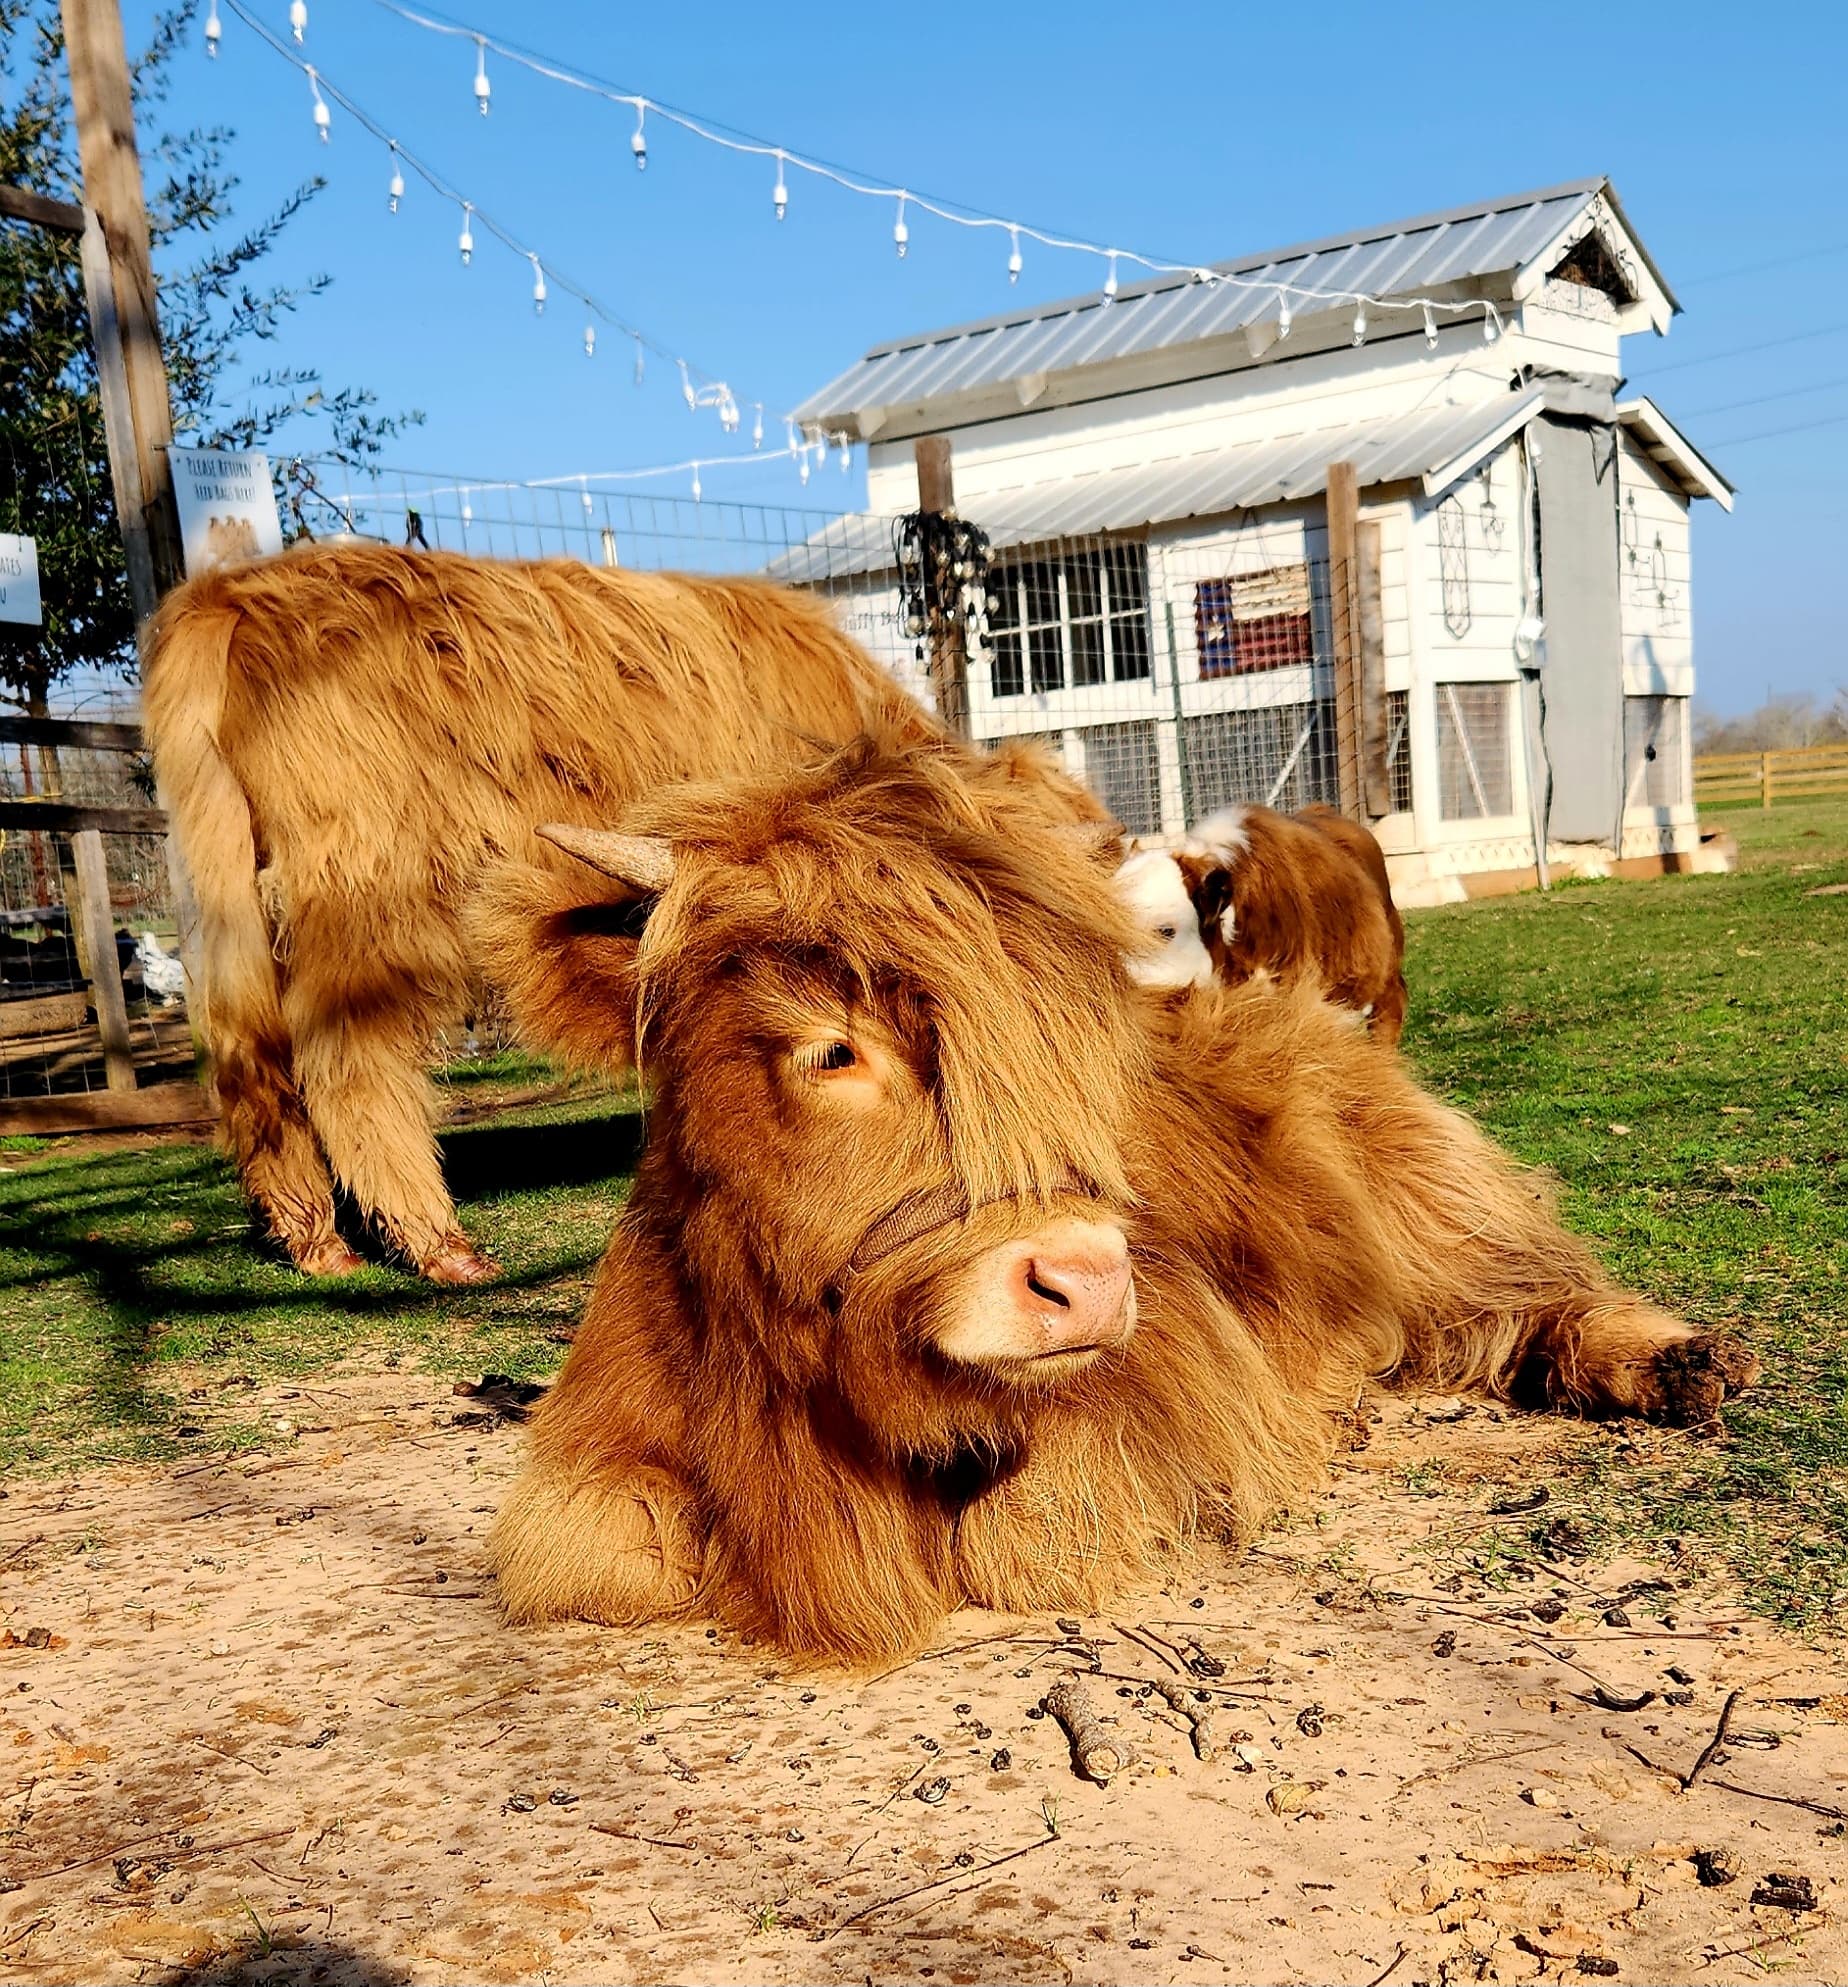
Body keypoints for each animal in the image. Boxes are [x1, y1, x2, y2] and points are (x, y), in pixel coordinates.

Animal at [143, 542, 958, 1284]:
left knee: (249, 1053)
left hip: (232, 899)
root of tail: (233, 592)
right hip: (368, 891)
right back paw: (438, 1245)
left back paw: (310, 1236)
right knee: (348, 1056)